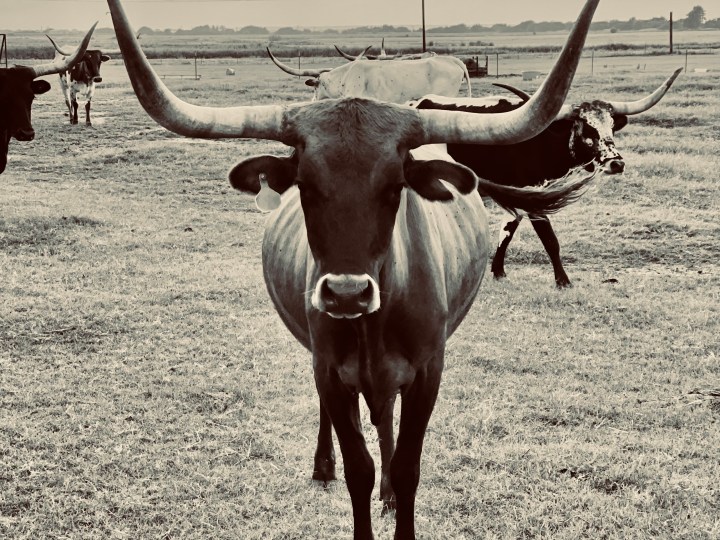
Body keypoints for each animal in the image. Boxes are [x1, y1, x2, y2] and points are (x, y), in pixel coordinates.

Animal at [411, 67, 681, 288]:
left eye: (612, 127)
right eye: (586, 129)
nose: (617, 163)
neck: (543, 139)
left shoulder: (520, 194)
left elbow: (507, 231)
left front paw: (498, 272)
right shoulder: (533, 196)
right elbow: (550, 239)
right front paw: (563, 281)